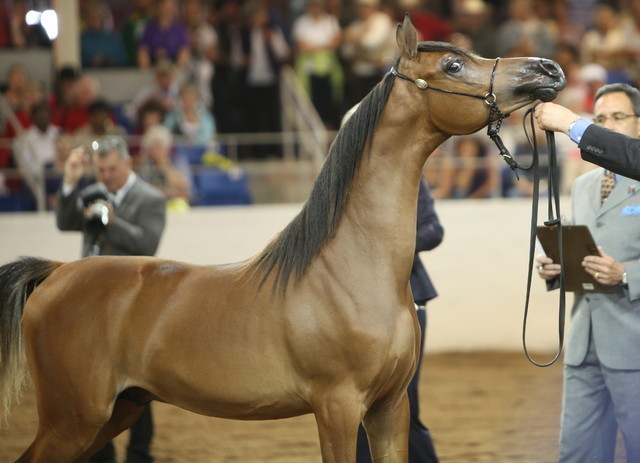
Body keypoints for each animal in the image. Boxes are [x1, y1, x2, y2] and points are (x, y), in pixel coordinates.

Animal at [0, 17, 565, 463]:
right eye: (452, 65)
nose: (548, 71)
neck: (350, 271)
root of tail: (57, 272)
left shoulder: (391, 408)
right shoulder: (337, 407)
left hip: (115, 412)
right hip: (74, 420)